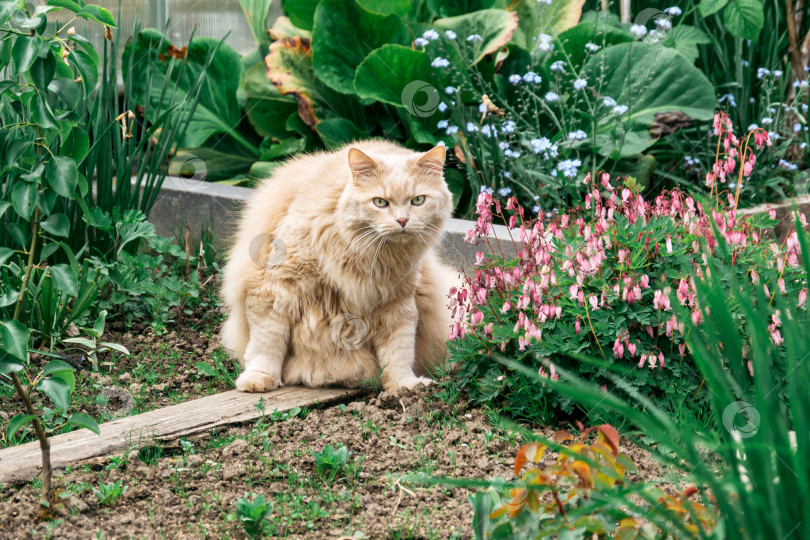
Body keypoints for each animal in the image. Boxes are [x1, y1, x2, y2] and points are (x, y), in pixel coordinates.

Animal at [221, 139, 458, 392]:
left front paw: (403, 385)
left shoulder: (399, 302)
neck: (368, 257)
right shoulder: (274, 288)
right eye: (380, 202)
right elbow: (266, 343)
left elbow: (399, 350)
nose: (402, 221)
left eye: (418, 200)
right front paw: (259, 378)